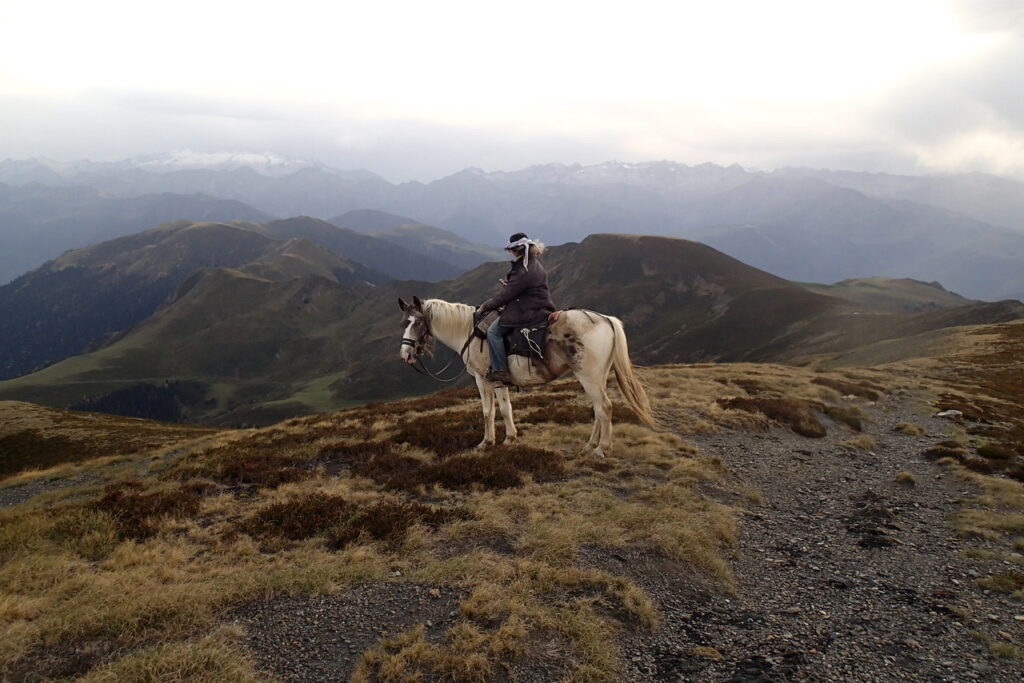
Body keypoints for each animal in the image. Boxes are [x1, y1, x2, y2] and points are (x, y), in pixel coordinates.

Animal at [398, 296, 655, 457]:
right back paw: (589, 446)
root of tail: (606, 320)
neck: (469, 333)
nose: (405, 354)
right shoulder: (499, 381)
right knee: (598, 411)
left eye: (417, 322)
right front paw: (510, 438)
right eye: (404, 323)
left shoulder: (483, 380)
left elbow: (487, 412)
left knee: (604, 408)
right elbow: (505, 409)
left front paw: (485, 443)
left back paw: (602, 449)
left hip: (589, 378)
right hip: (597, 377)